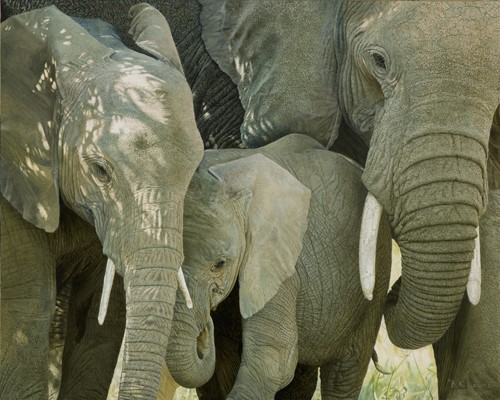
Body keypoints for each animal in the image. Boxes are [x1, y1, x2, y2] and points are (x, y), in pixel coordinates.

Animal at [165, 135, 394, 400]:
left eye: (219, 264)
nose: (204, 331)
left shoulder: (276, 259)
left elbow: (273, 359)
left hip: (377, 263)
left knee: (345, 373)